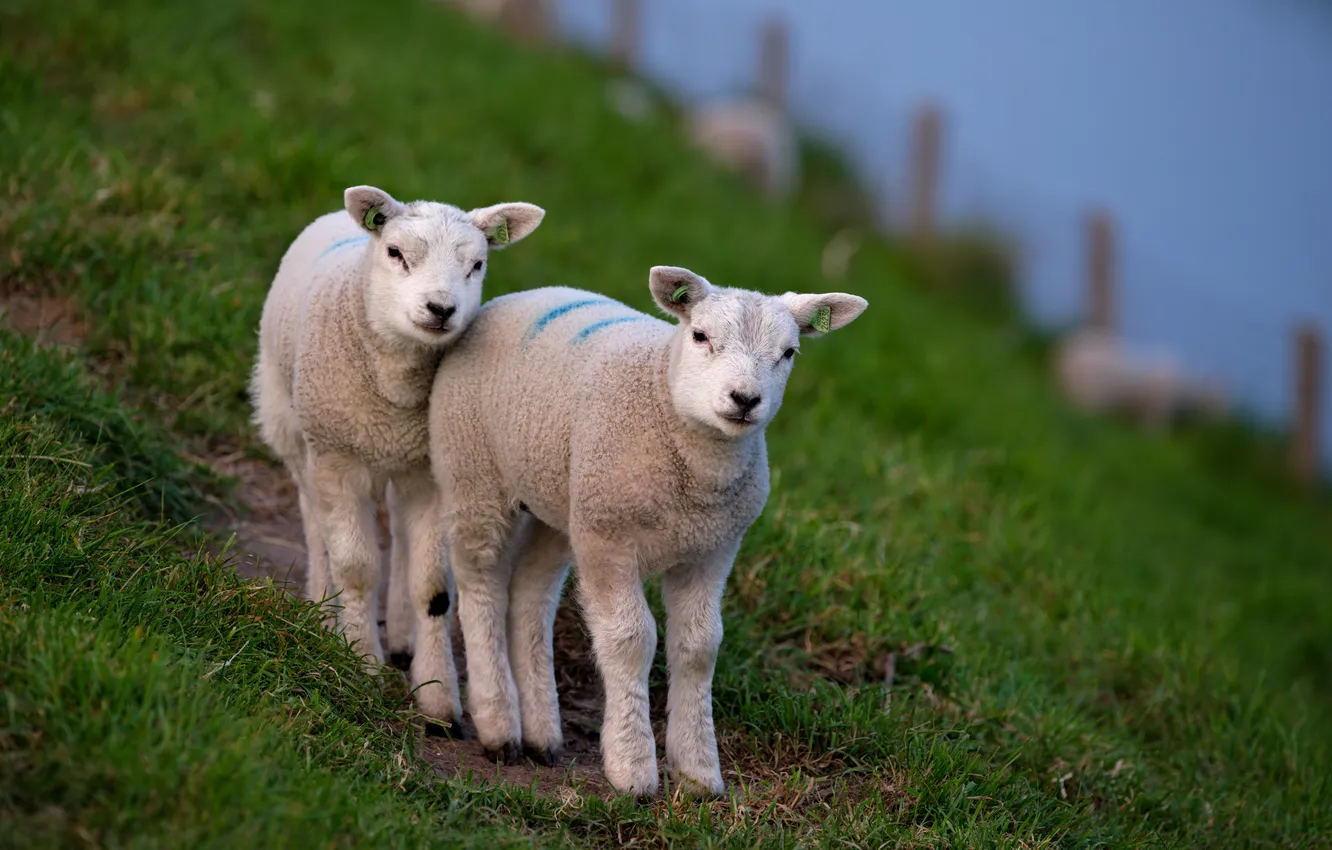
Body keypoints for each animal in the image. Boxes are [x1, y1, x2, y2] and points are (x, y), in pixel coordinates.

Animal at [249, 185, 545, 731]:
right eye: (395, 253)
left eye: (477, 264)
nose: (441, 308)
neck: (395, 391)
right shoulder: (338, 458)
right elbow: (356, 568)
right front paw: (361, 664)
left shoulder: (428, 471)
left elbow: (432, 587)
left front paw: (438, 698)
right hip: (292, 424)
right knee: (314, 523)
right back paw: (322, 611)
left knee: (403, 539)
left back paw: (403, 640)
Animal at [428, 266, 867, 794]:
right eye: (700, 336)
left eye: (789, 353)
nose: (745, 400)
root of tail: (521, 295)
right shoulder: (608, 537)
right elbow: (630, 638)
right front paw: (632, 767)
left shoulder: (712, 548)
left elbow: (699, 646)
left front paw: (698, 771)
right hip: (473, 469)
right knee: (481, 585)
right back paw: (498, 724)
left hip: (560, 499)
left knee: (531, 597)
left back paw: (541, 735)